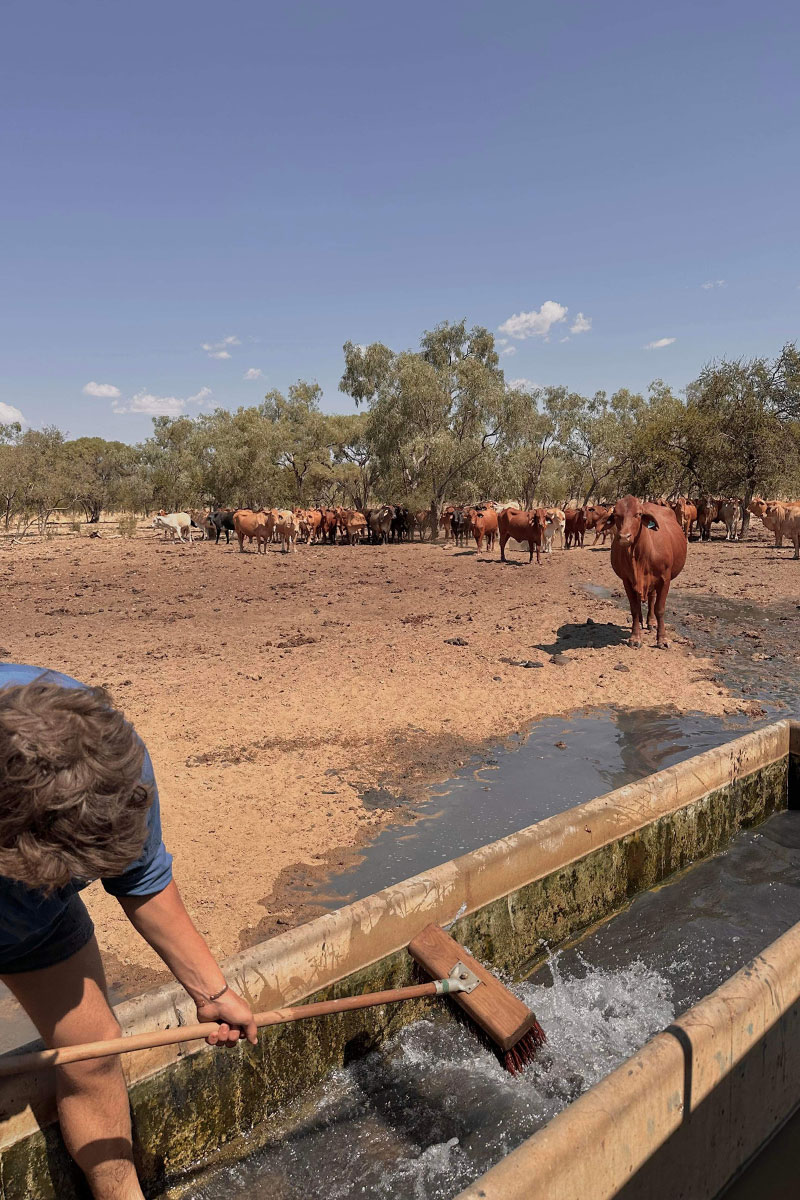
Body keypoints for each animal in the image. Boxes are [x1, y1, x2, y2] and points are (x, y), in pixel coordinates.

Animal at [609, 494, 686, 652]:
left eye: (638, 514)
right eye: (616, 515)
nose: (624, 537)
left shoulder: (664, 579)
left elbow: (659, 609)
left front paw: (662, 639)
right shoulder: (627, 580)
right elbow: (634, 608)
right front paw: (635, 637)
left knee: (652, 599)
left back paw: (651, 622)